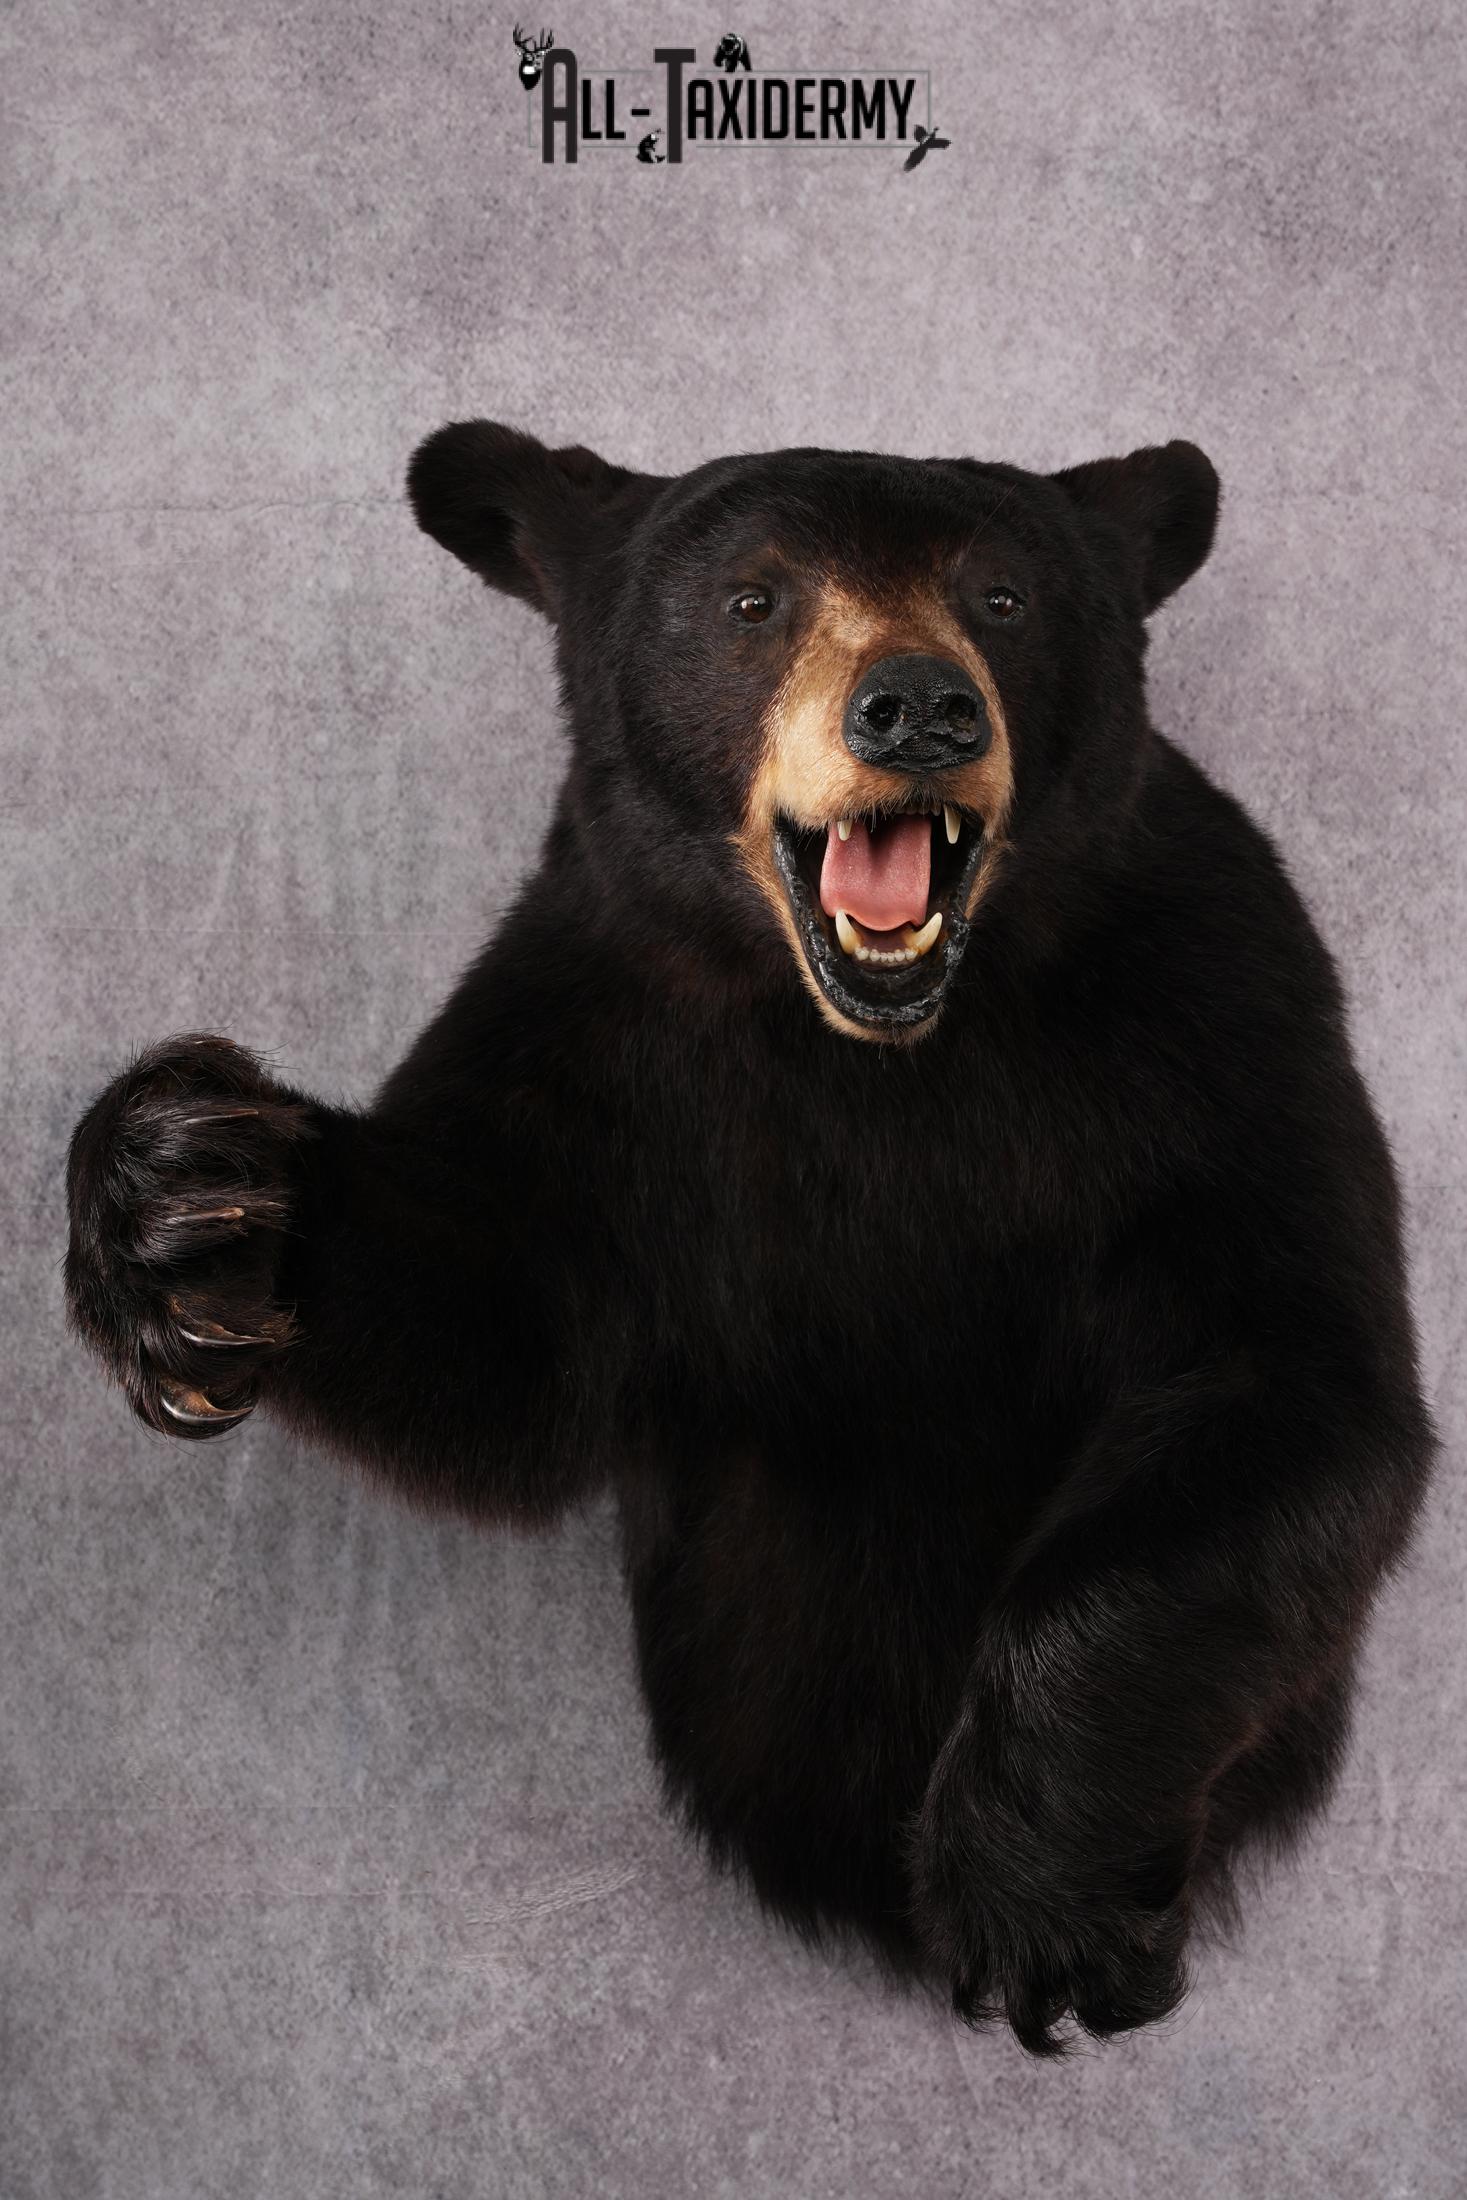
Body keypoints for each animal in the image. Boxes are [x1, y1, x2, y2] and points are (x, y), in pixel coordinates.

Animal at [64, 426, 1435, 2055]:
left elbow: (1282, 1380)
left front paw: (1038, 1902)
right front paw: (192, 1196)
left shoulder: (1216, 1015)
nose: (917, 706)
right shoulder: (602, 1035)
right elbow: (510, 1339)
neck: (880, 1053)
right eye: (751, 600)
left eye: (1003, 592)